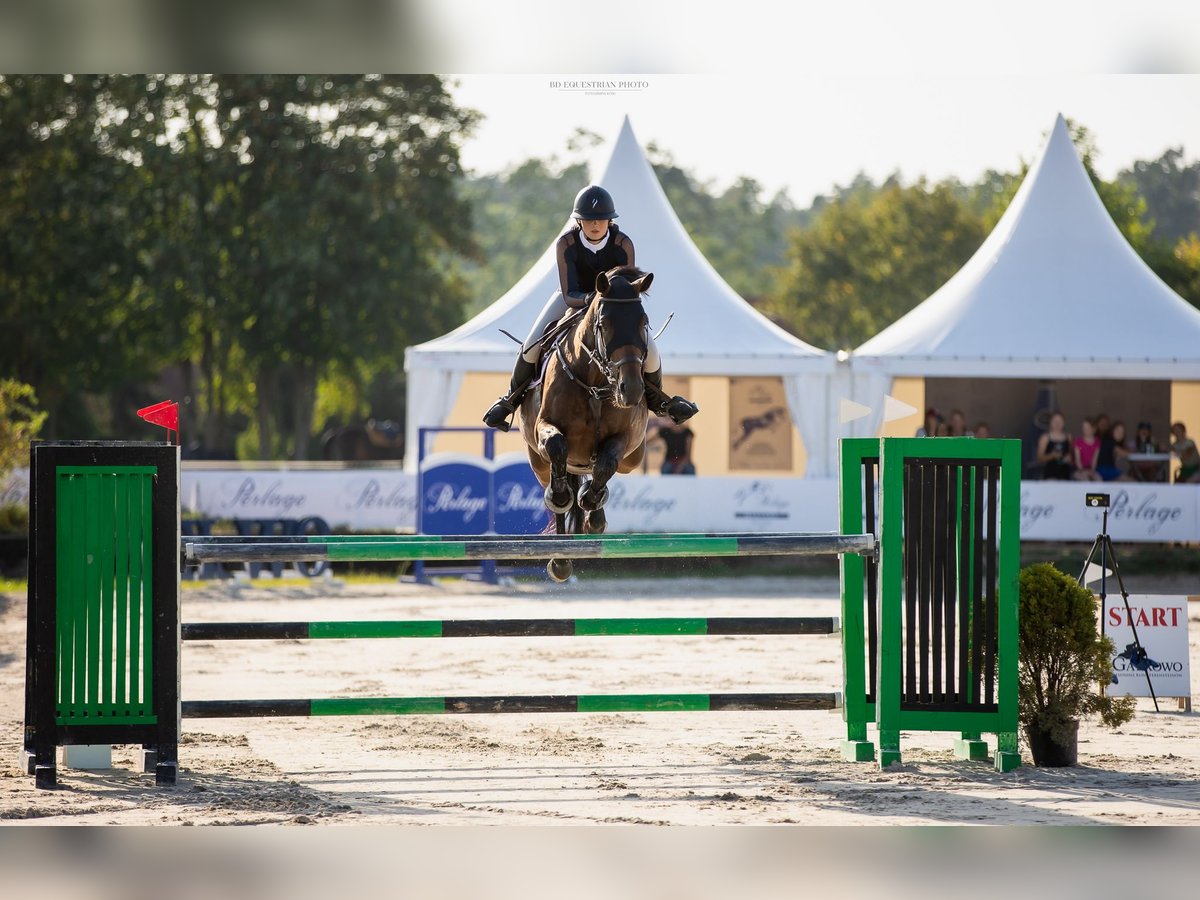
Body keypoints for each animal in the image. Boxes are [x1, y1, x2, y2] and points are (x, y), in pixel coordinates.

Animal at [518, 264, 652, 580]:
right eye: (605, 324)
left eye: (644, 322)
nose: (631, 390)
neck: (594, 383)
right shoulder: (545, 428)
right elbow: (556, 445)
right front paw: (562, 497)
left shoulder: (625, 438)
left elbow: (606, 462)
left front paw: (591, 505)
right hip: (537, 461)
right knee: (556, 480)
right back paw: (560, 560)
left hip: (634, 458)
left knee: (599, 472)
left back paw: (593, 516)